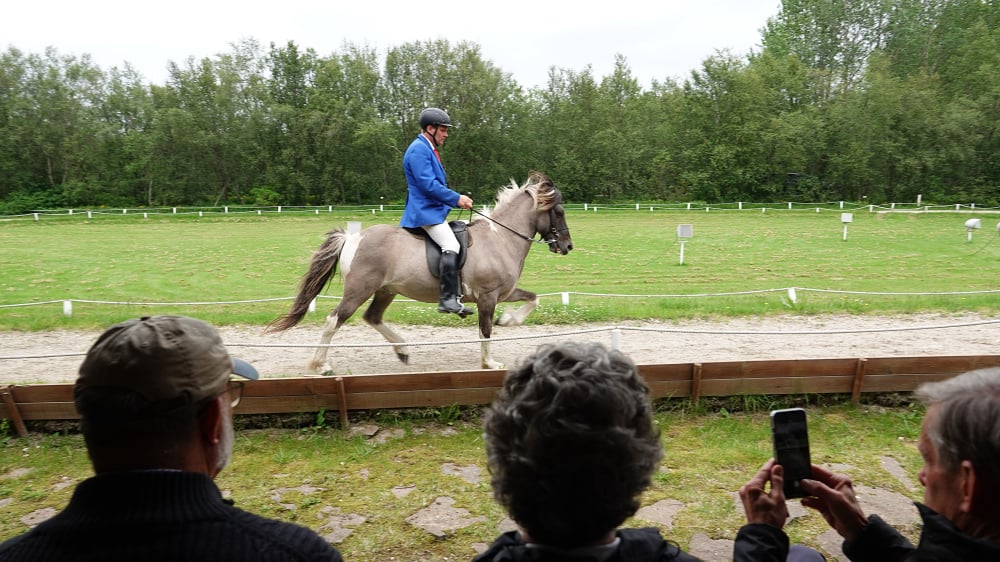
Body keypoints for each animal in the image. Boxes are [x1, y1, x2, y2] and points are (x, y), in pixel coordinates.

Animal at [265, 172, 573, 372]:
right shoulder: (487, 296)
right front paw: (490, 362)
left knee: (372, 317)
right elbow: (485, 330)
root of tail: (352, 238)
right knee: (334, 321)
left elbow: (533, 299)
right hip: (358, 290)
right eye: (558, 211)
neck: (501, 238)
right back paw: (321, 365)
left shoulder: (503, 293)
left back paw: (402, 350)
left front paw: (509, 320)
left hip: (385, 291)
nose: (567, 246)